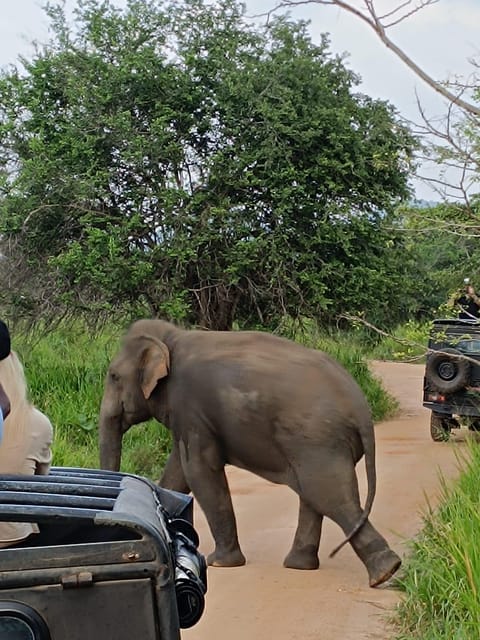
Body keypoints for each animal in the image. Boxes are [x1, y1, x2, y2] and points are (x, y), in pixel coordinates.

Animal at [98, 318, 402, 588]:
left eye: (113, 376)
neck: (172, 337)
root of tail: (361, 409)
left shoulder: (190, 406)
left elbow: (199, 470)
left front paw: (220, 562)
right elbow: (179, 469)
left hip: (318, 439)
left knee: (330, 496)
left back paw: (384, 572)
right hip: (315, 445)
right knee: (314, 494)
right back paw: (300, 565)